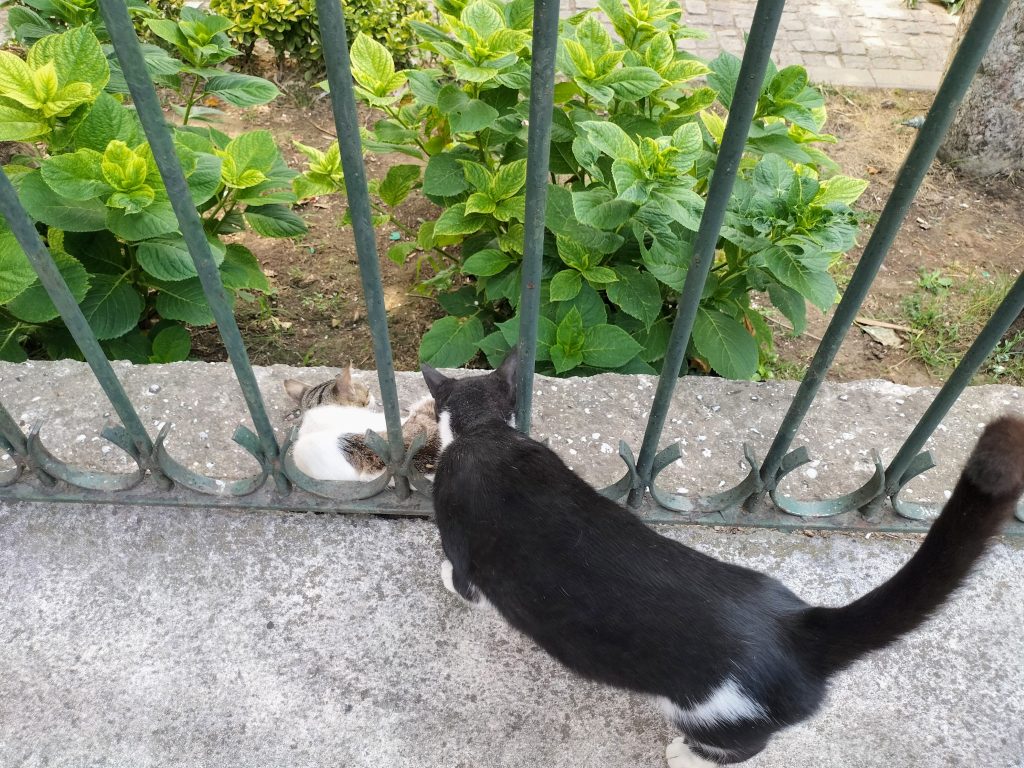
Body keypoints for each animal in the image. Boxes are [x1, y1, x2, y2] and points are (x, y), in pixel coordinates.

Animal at [419, 352, 1024, 765]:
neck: (486, 433)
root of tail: (796, 630)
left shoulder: (461, 534)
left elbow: (460, 577)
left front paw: (447, 580)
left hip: (711, 710)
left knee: (744, 746)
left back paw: (686, 756)